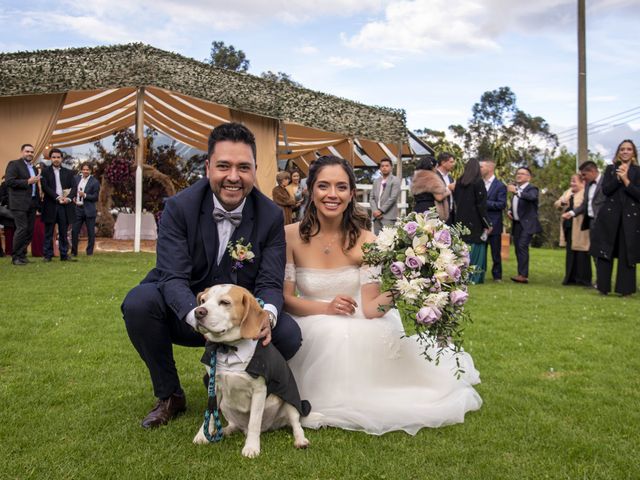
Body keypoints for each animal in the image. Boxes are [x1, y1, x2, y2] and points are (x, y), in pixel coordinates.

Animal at [191, 284, 308, 458]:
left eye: (225, 302)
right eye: (203, 300)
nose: (198, 312)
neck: (229, 347)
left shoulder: (259, 391)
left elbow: (254, 422)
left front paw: (251, 447)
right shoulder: (215, 387)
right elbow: (210, 413)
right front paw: (202, 435)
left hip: (289, 401)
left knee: (295, 424)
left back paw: (300, 440)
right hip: (225, 404)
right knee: (233, 424)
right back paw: (224, 431)